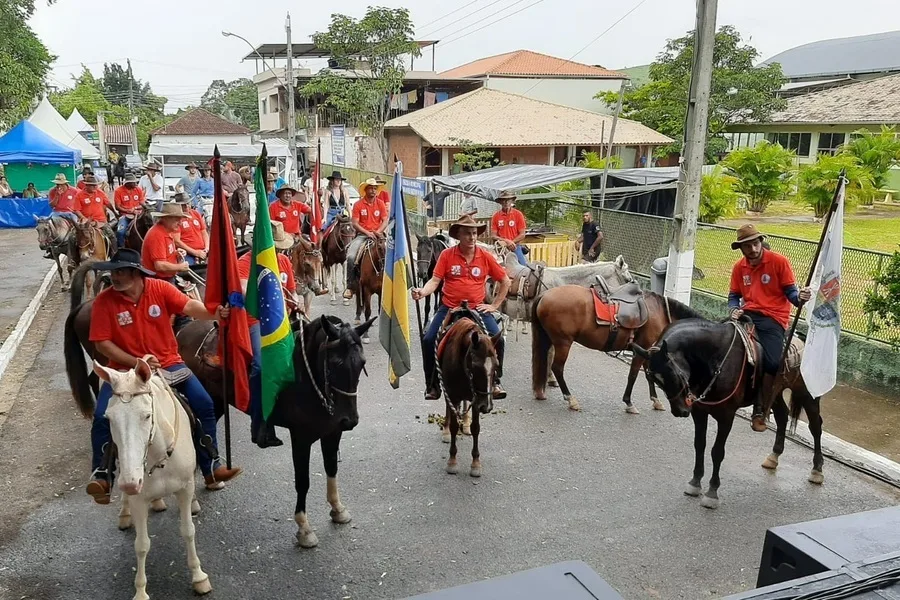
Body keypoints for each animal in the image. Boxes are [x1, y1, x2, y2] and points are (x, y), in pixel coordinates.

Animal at [82, 360, 213, 600]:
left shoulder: (185, 489)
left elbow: (188, 531)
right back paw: (126, 514)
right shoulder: (138, 498)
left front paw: (199, 577)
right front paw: (141, 591)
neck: (158, 456)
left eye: (146, 416)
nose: (130, 483)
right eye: (109, 418)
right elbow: (142, 545)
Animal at [174, 316, 374, 548]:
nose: (349, 420)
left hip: (216, 402)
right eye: (334, 364)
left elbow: (332, 468)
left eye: (362, 363)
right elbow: (302, 481)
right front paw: (304, 529)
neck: (305, 378)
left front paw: (337, 509)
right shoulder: (301, 438)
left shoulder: (332, 432)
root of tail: (184, 331)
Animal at [434, 308, 500, 476]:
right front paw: (452, 461)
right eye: (475, 366)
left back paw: (465, 422)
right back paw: (446, 430)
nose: (486, 406)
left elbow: (476, 428)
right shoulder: (452, 394)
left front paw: (476, 463)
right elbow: (453, 427)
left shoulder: (476, 399)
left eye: (496, 365)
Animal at [532, 286, 708, 412]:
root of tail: (544, 295)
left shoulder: (650, 352)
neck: (660, 312)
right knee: (557, 368)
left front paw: (656, 401)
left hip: (550, 339)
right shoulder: (643, 349)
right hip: (563, 342)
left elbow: (649, 376)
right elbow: (633, 375)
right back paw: (570, 399)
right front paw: (629, 403)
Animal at [628, 322, 828, 508]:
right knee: (782, 416)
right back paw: (774, 456)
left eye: (672, 374)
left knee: (815, 425)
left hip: (806, 392)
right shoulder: (700, 413)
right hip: (776, 391)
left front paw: (712, 492)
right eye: (654, 379)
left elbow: (717, 451)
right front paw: (695, 482)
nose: (680, 411)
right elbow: (699, 445)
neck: (714, 359)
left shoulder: (726, 416)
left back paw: (817, 469)